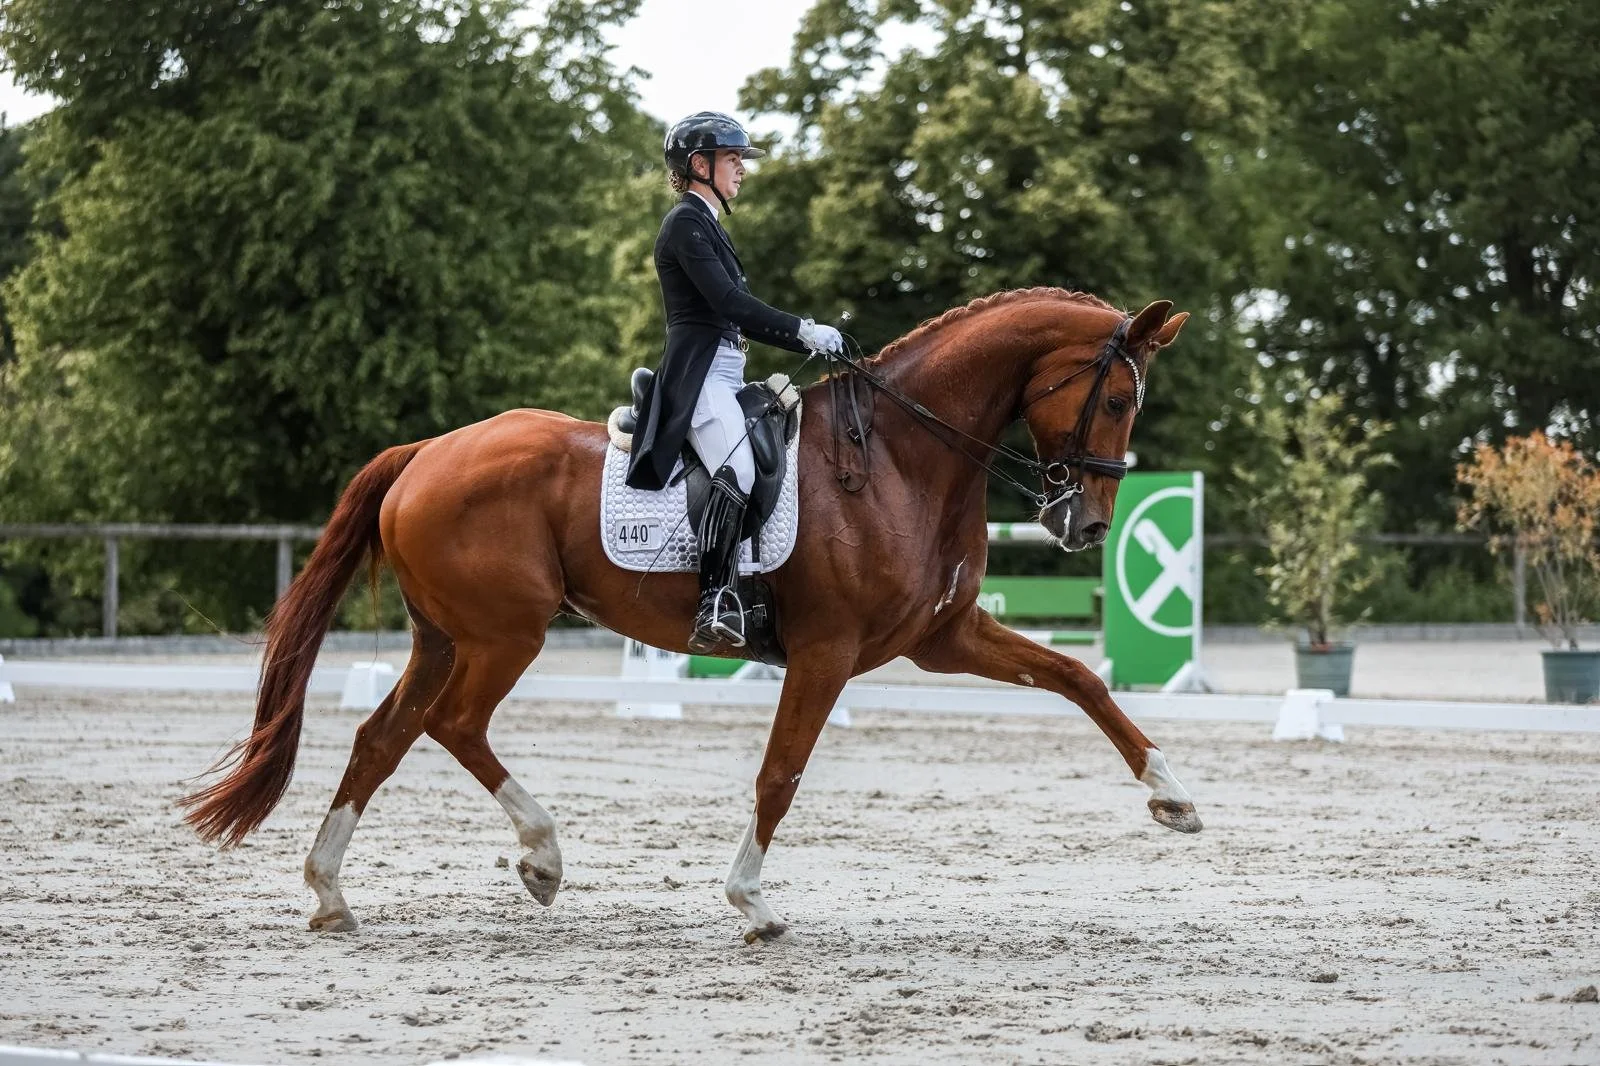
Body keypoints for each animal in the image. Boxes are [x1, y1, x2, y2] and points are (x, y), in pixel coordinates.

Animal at [181, 287, 1200, 943]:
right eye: (1116, 397)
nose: (1086, 524)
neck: (902, 457)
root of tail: (428, 450)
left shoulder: (943, 639)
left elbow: (1077, 676)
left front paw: (1173, 795)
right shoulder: (828, 652)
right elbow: (780, 774)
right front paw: (752, 903)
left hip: (445, 635)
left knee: (383, 737)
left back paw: (331, 894)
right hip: (504, 634)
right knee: (452, 724)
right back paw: (540, 858)